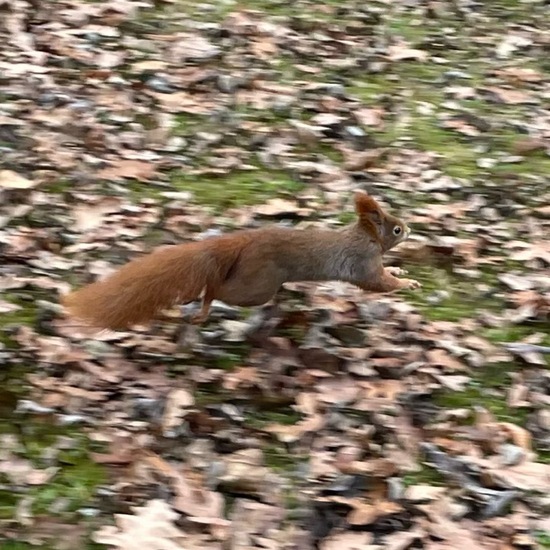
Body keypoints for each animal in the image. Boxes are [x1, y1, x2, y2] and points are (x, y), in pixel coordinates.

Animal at [61, 193, 422, 332]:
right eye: (396, 229)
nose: (410, 228)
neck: (366, 237)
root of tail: (244, 242)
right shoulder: (363, 263)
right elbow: (377, 283)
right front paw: (408, 283)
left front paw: (400, 269)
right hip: (258, 286)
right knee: (216, 289)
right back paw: (204, 308)